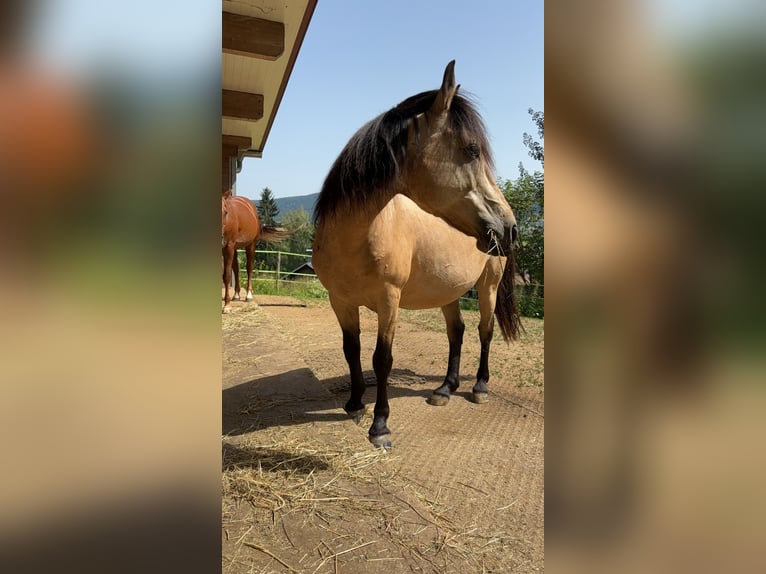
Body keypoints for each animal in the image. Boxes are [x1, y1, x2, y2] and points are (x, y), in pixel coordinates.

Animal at [312, 62, 520, 450]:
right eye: (472, 150)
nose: (509, 227)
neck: (356, 237)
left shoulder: (388, 299)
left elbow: (382, 358)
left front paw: (380, 426)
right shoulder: (340, 301)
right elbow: (351, 350)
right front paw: (354, 403)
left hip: (488, 286)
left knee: (484, 331)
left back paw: (479, 387)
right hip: (449, 290)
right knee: (457, 331)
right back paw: (445, 389)